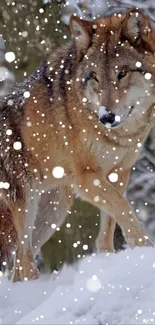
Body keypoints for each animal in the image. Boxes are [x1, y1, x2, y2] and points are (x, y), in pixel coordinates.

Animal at [0, 8, 155, 280]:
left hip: (53, 212)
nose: (106, 117)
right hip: (26, 205)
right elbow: (124, 207)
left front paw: (108, 259)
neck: (122, 135)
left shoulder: (119, 173)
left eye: (122, 73)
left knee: (18, 262)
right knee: (25, 259)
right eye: (95, 78)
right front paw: (145, 249)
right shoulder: (87, 178)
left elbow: (110, 222)